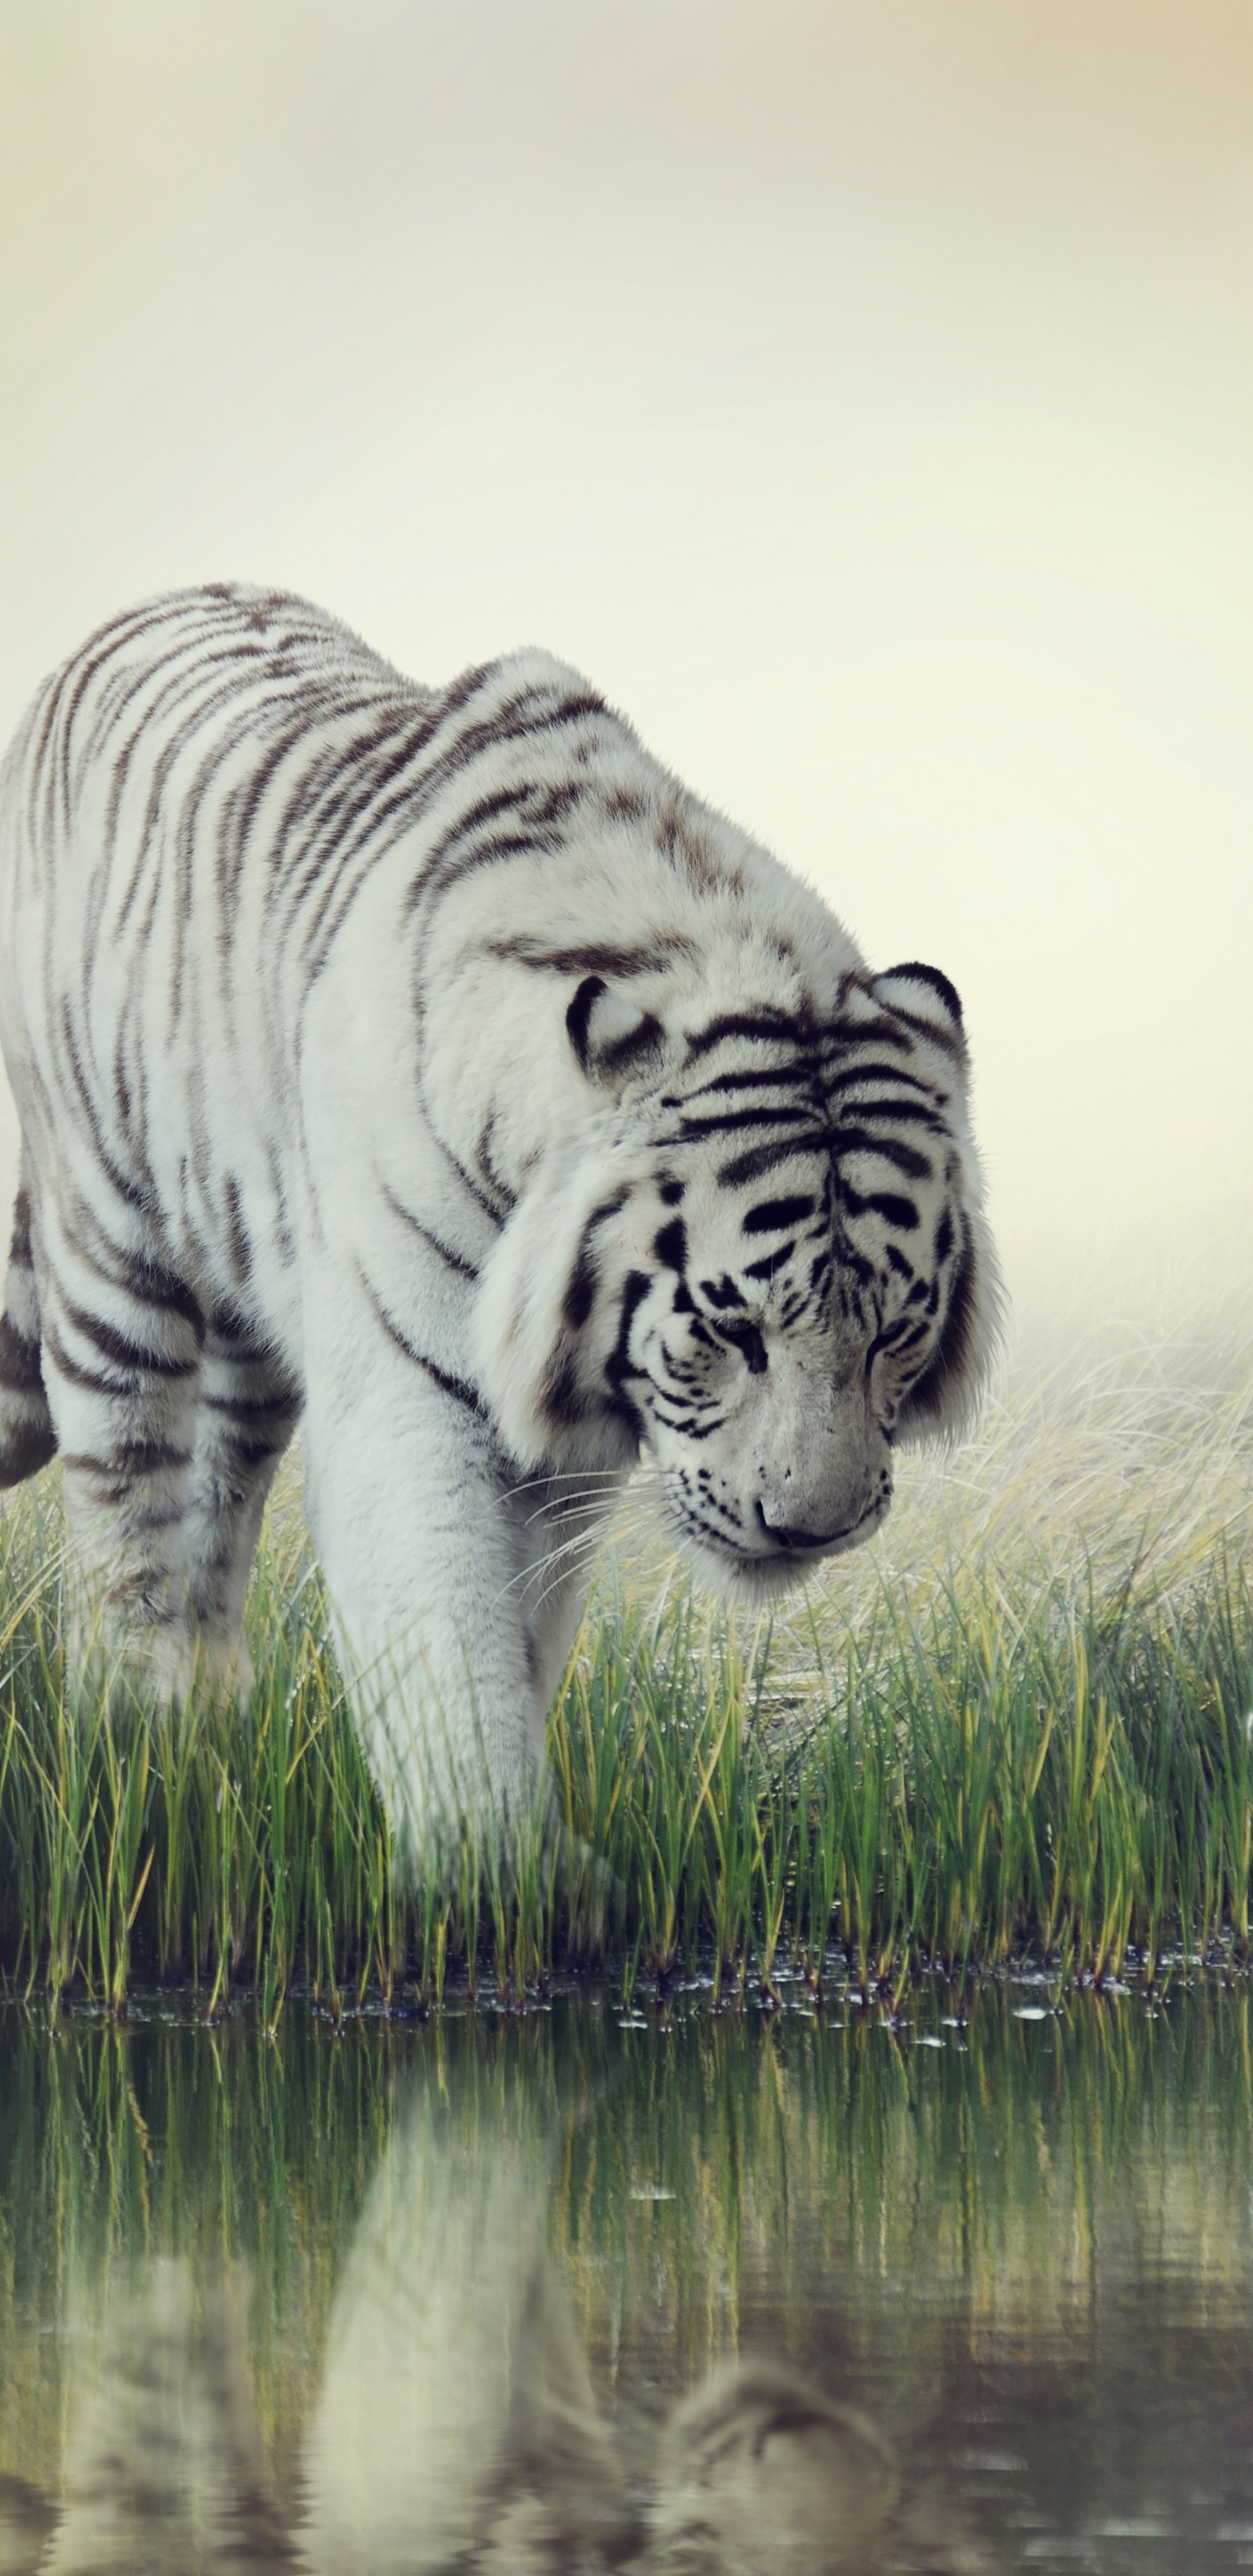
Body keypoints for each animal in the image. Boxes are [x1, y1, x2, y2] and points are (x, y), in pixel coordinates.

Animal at [0, 585, 1000, 1848]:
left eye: (895, 1337)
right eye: (731, 1331)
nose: (810, 1529)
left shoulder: (566, 1456)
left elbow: (521, 1635)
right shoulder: (407, 1398)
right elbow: (448, 1648)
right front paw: (500, 1866)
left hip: (254, 1314)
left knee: (218, 1509)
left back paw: (213, 1724)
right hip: (109, 1257)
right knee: (127, 1514)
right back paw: (138, 1736)